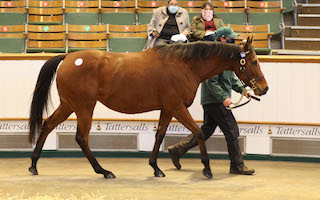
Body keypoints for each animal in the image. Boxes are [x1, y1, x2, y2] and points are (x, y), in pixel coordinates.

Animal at [28, 36, 268, 179]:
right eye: (254, 62)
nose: (264, 88)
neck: (185, 65)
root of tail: (69, 57)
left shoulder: (168, 109)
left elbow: (159, 135)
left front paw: (156, 167)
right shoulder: (177, 107)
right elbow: (198, 132)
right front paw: (206, 168)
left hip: (69, 105)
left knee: (48, 125)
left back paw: (34, 164)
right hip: (84, 107)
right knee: (81, 137)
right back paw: (103, 171)